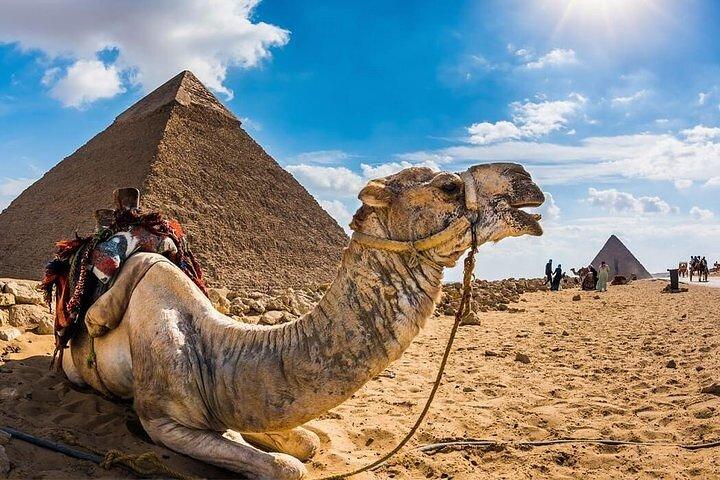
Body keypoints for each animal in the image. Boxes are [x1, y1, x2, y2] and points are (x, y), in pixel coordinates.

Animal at [60, 163, 544, 479]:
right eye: (448, 187)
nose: (527, 180)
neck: (219, 346)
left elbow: (306, 443)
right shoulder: (164, 420)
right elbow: (285, 468)